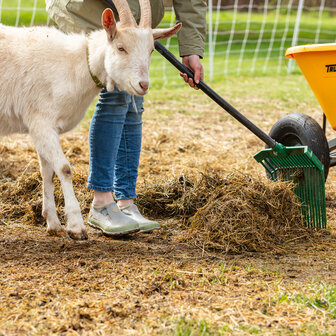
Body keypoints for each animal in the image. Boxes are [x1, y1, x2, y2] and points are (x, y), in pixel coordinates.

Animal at [0, 0, 181, 239]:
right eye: (121, 48)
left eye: (151, 49)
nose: (143, 85)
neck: (76, 65)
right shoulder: (41, 121)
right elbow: (64, 169)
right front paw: (76, 226)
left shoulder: (40, 128)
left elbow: (47, 171)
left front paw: (53, 223)